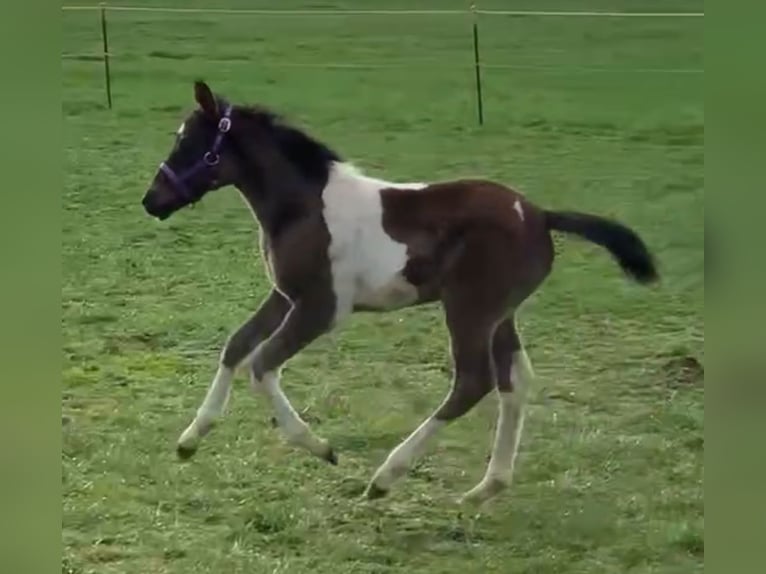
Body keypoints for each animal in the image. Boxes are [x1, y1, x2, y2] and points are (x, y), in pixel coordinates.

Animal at [141, 82, 656, 508]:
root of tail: (540, 215)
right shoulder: (285, 295)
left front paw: (321, 448)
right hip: (499, 314)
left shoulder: (322, 307)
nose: (151, 201)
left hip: (469, 309)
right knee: (516, 380)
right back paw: (485, 488)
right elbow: (236, 346)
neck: (304, 207)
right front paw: (190, 439)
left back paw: (386, 477)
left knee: (474, 382)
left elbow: (262, 364)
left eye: (189, 143)